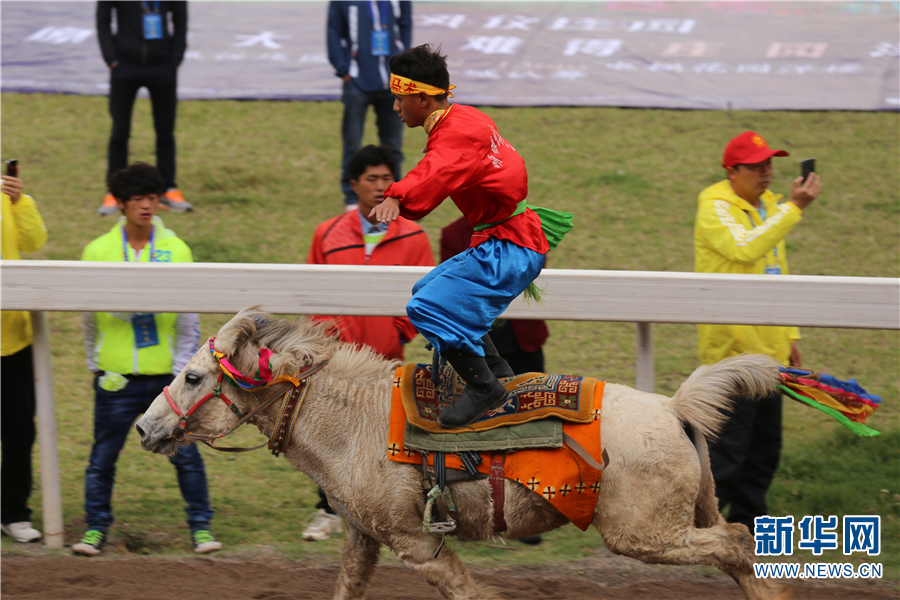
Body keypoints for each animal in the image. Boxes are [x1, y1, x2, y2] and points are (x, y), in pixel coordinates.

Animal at [135, 310, 788, 600]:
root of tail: (674, 407)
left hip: (644, 534)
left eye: (192, 376)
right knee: (737, 548)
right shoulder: (363, 538)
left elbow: (469, 593)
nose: (144, 427)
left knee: (737, 543)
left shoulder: (417, 542)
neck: (354, 422)